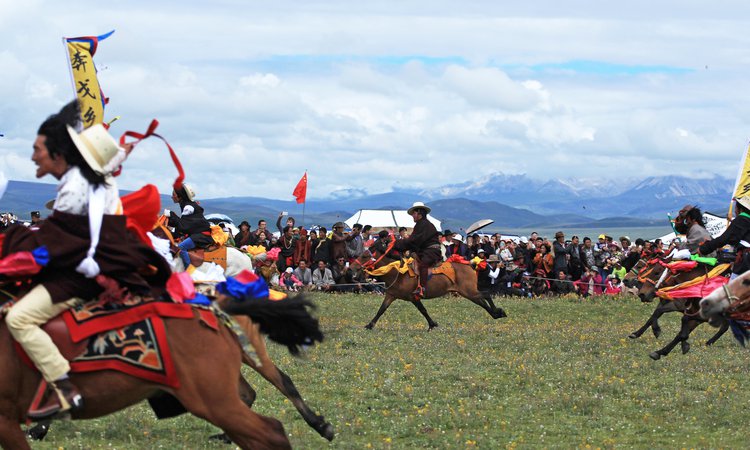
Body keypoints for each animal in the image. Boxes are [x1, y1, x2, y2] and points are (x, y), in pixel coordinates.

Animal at [356, 250, 508, 330]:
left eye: (364, 256)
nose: (353, 270)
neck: (398, 272)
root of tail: (470, 265)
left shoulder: (413, 297)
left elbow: (423, 310)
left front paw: (432, 324)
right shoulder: (391, 295)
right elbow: (381, 310)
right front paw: (369, 325)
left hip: (469, 291)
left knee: (486, 294)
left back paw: (498, 312)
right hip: (467, 292)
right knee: (482, 301)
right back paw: (496, 314)